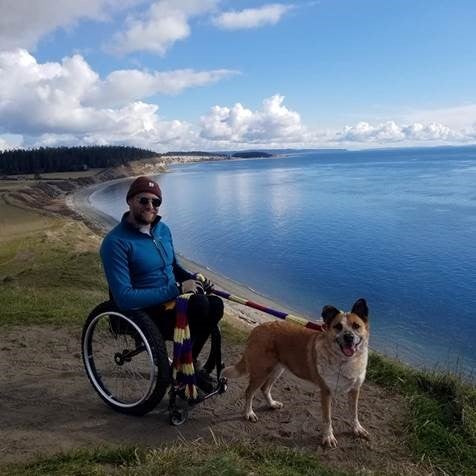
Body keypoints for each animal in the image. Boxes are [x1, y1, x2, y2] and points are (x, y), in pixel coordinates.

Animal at [221, 298, 370, 446]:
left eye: (356, 326)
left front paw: (357, 429)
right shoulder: (326, 392)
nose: (349, 337)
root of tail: (258, 328)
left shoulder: (355, 390)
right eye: (338, 326)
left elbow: (354, 413)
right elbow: (327, 418)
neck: (345, 361)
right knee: (249, 392)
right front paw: (328, 437)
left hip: (277, 369)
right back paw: (249, 413)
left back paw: (272, 404)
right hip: (261, 371)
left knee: (265, 388)